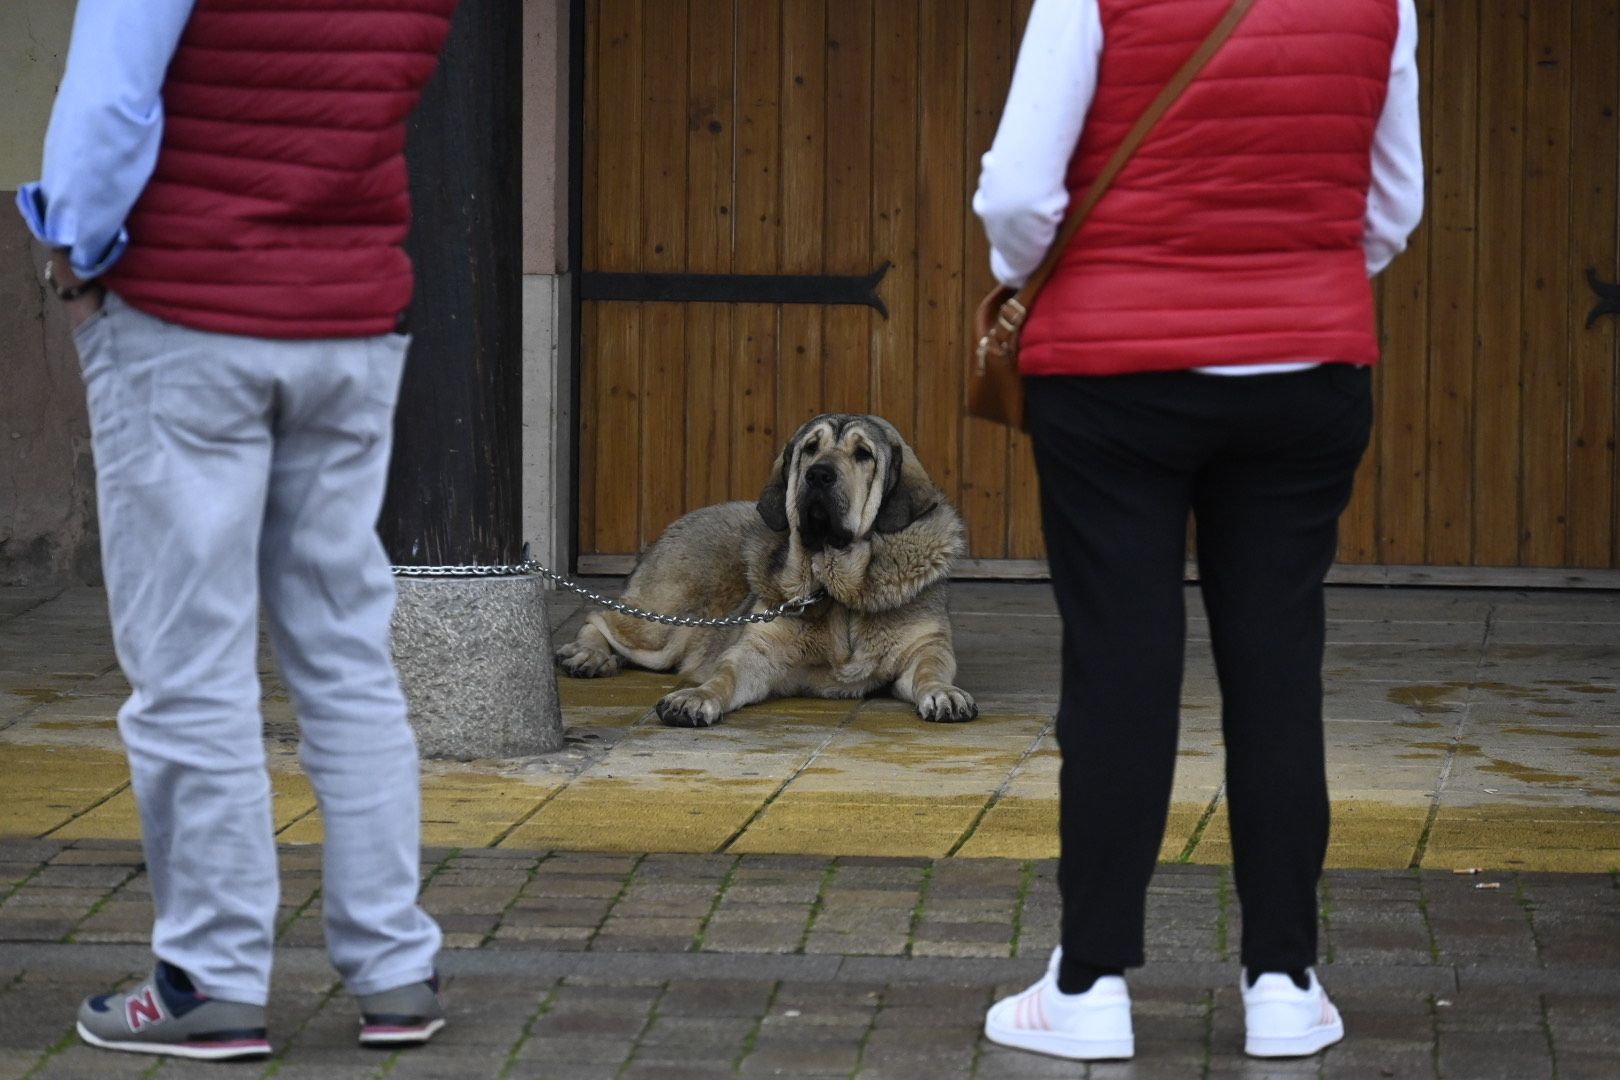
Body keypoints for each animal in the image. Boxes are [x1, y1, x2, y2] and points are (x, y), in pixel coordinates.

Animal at [557, 414, 972, 725]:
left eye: (863, 454)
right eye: (810, 448)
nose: (819, 474)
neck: (835, 588)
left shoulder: (927, 645)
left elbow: (930, 670)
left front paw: (943, 694)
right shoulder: (756, 651)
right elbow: (724, 675)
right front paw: (695, 697)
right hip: (666, 625)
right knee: (601, 616)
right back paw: (587, 655)